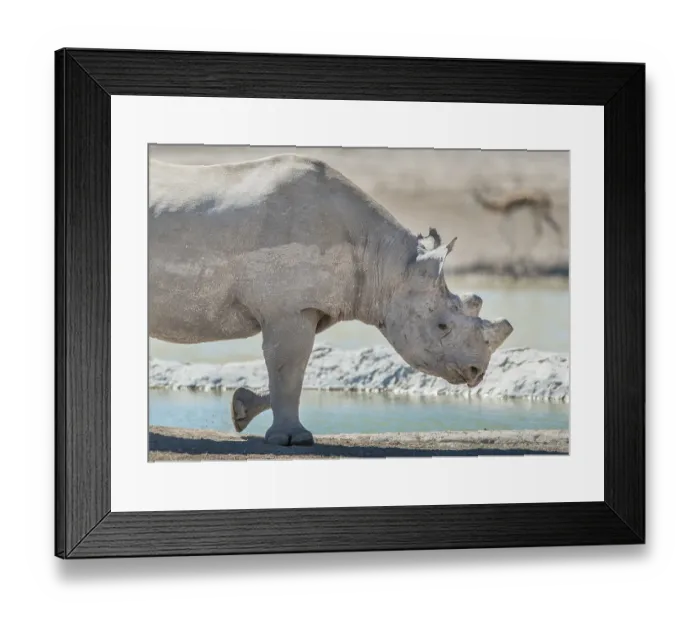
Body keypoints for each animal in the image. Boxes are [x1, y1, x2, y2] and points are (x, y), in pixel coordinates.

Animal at [149, 154, 513, 446]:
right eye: (442, 326)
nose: (477, 371)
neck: (386, 263)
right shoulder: (290, 307)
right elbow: (289, 367)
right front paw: (293, 440)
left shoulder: (311, 307)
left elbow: (292, 370)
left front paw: (240, 408)